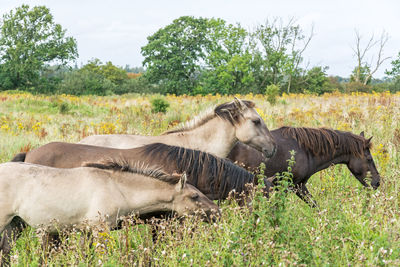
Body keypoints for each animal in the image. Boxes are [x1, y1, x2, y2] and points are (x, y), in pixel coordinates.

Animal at [0, 160, 219, 264]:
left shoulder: (87, 231)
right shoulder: (100, 230)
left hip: (14, 225)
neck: (115, 187)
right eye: (195, 196)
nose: (217, 212)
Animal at [228, 127, 382, 207]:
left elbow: (315, 206)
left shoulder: (300, 186)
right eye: (369, 159)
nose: (377, 182)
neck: (305, 150)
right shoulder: (291, 186)